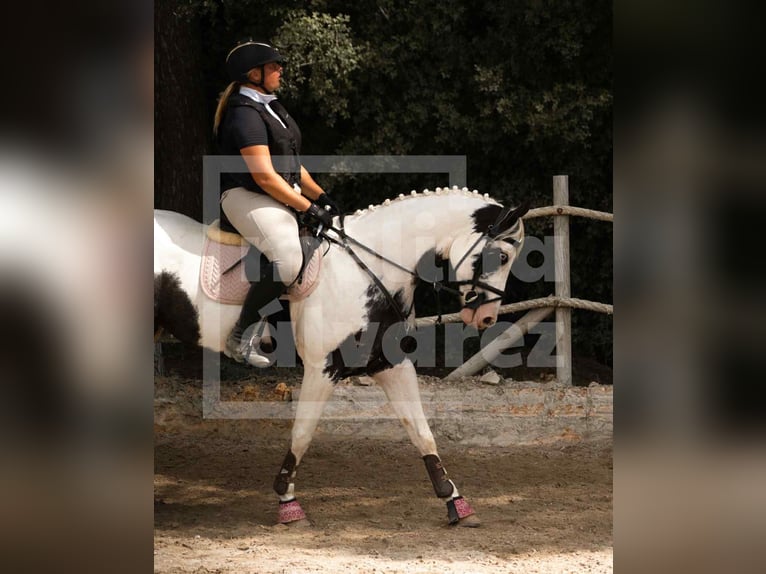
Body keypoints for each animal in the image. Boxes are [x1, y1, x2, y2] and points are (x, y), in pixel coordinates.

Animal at [154, 186, 529, 527]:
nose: (487, 319)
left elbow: (422, 433)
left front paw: (457, 504)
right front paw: (288, 505)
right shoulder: (322, 369)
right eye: (502, 257)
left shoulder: (391, 366)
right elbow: (302, 434)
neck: (373, 268)